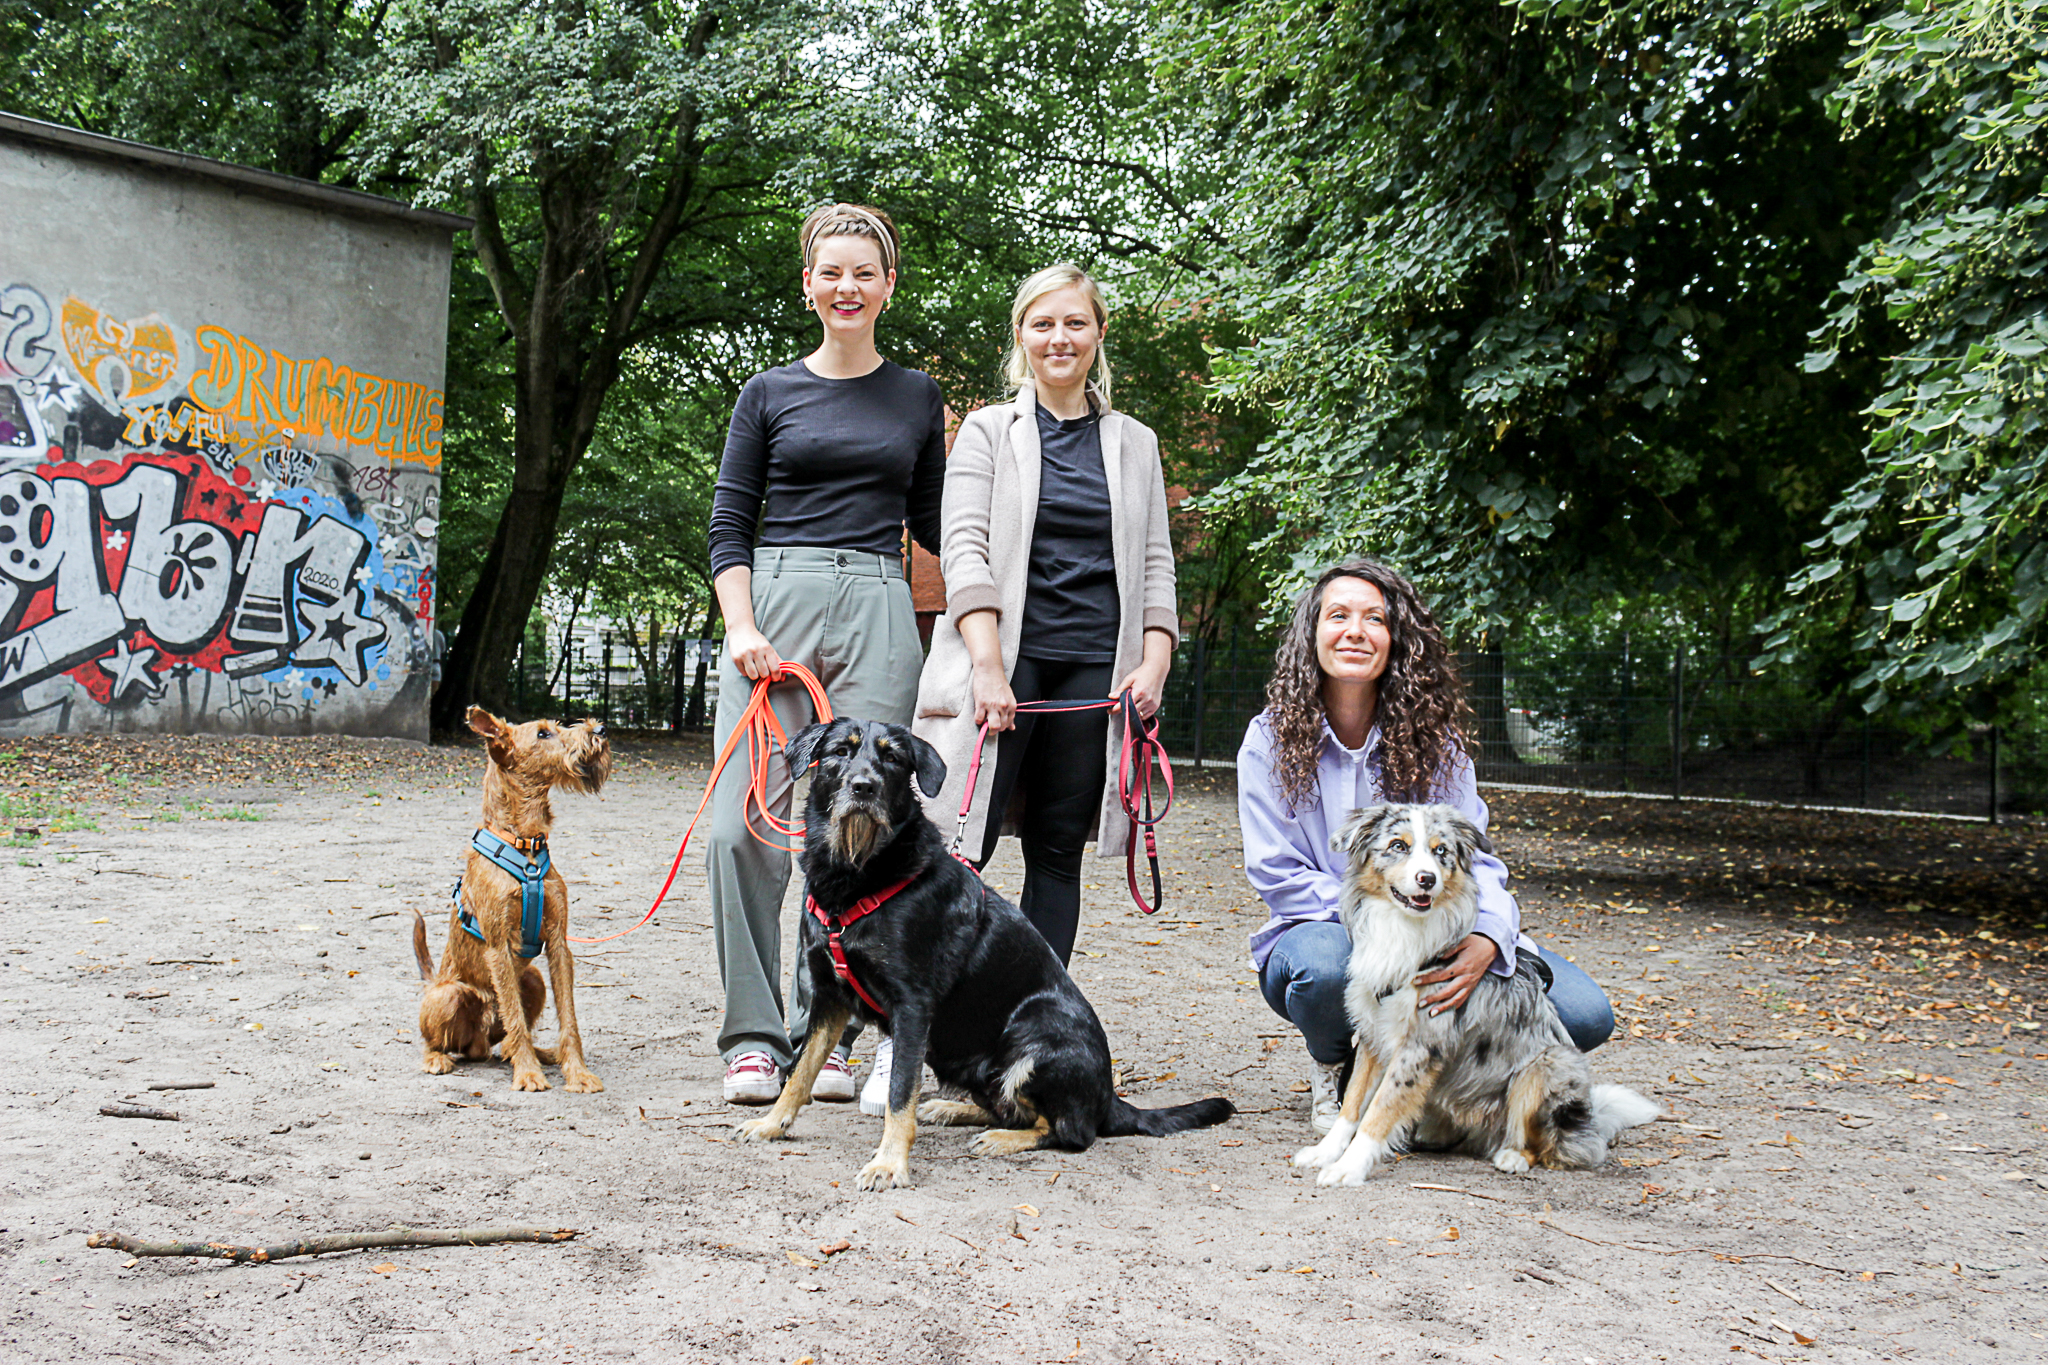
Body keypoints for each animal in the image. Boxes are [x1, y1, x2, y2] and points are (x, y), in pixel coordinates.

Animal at [411, 712, 610, 1096]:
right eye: (544, 733)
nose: (600, 729)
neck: (525, 844)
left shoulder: (559, 944)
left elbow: (568, 1018)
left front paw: (577, 1073)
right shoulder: (499, 945)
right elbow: (515, 1018)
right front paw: (528, 1074)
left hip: (533, 979)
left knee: (505, 1040)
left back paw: (541, 1054)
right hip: (449, 994)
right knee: (436, 1040)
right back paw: (437, 1059)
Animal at [737, 720, 1228, 1186]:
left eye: (892, 759)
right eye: (841, 751)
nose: (864, 787)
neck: (859, 874)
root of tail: (1109, 1098)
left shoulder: (912, 1006)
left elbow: (899, 1094)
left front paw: (889, 1164)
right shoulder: (829, 997)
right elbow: (801, 1072)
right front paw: (771, 1124)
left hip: (1036, 1032)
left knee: (1067, 1131)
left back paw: (1000, 1138)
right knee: (1010, 1108)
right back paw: (953, 1110)